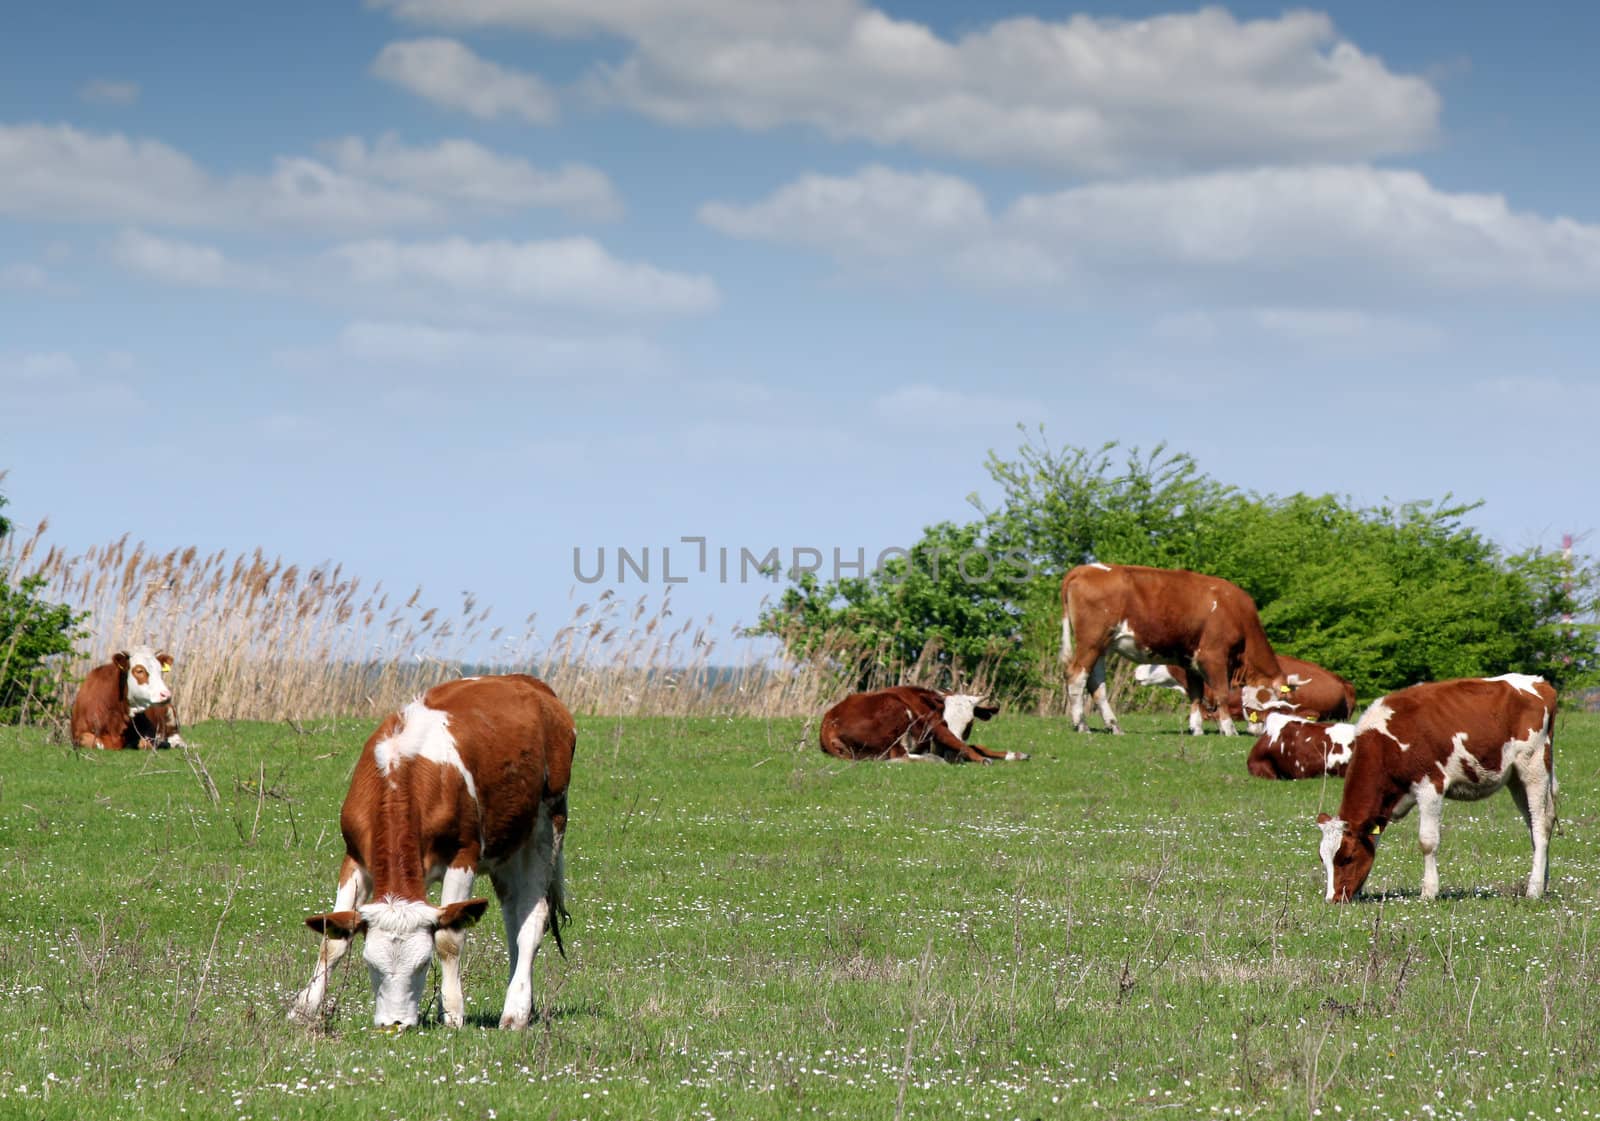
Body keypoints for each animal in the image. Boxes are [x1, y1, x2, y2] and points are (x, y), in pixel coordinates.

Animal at [292, 668, 576, 1029]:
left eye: (424, 964)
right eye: (370, 964)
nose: (394, 1023)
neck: (402, 773)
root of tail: (527, 681)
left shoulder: (463, 856)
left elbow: (449, 939)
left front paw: (452, 1013)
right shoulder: (354, 856)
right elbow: (333, 940)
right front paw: (304, 1007)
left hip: (547, 827)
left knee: (533, 917)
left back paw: (516, 1011)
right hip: (506, 848)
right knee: (514, 917)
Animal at [819, 687, 1030, 764]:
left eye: (969, 722)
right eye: (945, 720)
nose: (951, 756)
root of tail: (829, 718)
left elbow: (974, 745)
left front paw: (1014, 754)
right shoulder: (936, 728)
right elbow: (962, 744)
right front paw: (983, 759)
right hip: (894, 710)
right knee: (899, 756)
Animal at [1056, 559, 1292, 735]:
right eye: (1276, 703)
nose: (1264, 731)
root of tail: (1084, 568)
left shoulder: (1191, 660)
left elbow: (1196, 694)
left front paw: (1196, 729)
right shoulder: (1213, 656)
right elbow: (1221, 693)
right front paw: (1229, 729)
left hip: (1101, 647)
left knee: (1096, 684)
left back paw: (1114, 726)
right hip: (1091, 641)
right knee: (1076, 676)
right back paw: (1081, 724)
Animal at [1312, 674, 1561, 901]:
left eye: (1347, 857)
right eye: (1323, 859)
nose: (1332, 899)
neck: (1387, 743)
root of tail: (1539, 683)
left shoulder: (1430, 785)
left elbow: (1427, 841)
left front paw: (1429, 892)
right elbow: (1374, 841)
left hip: (1534, 766)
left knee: (1540, 825)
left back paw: (1534, 890)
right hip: (1515, 779)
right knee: (1536, 823)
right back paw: (1543, 883)